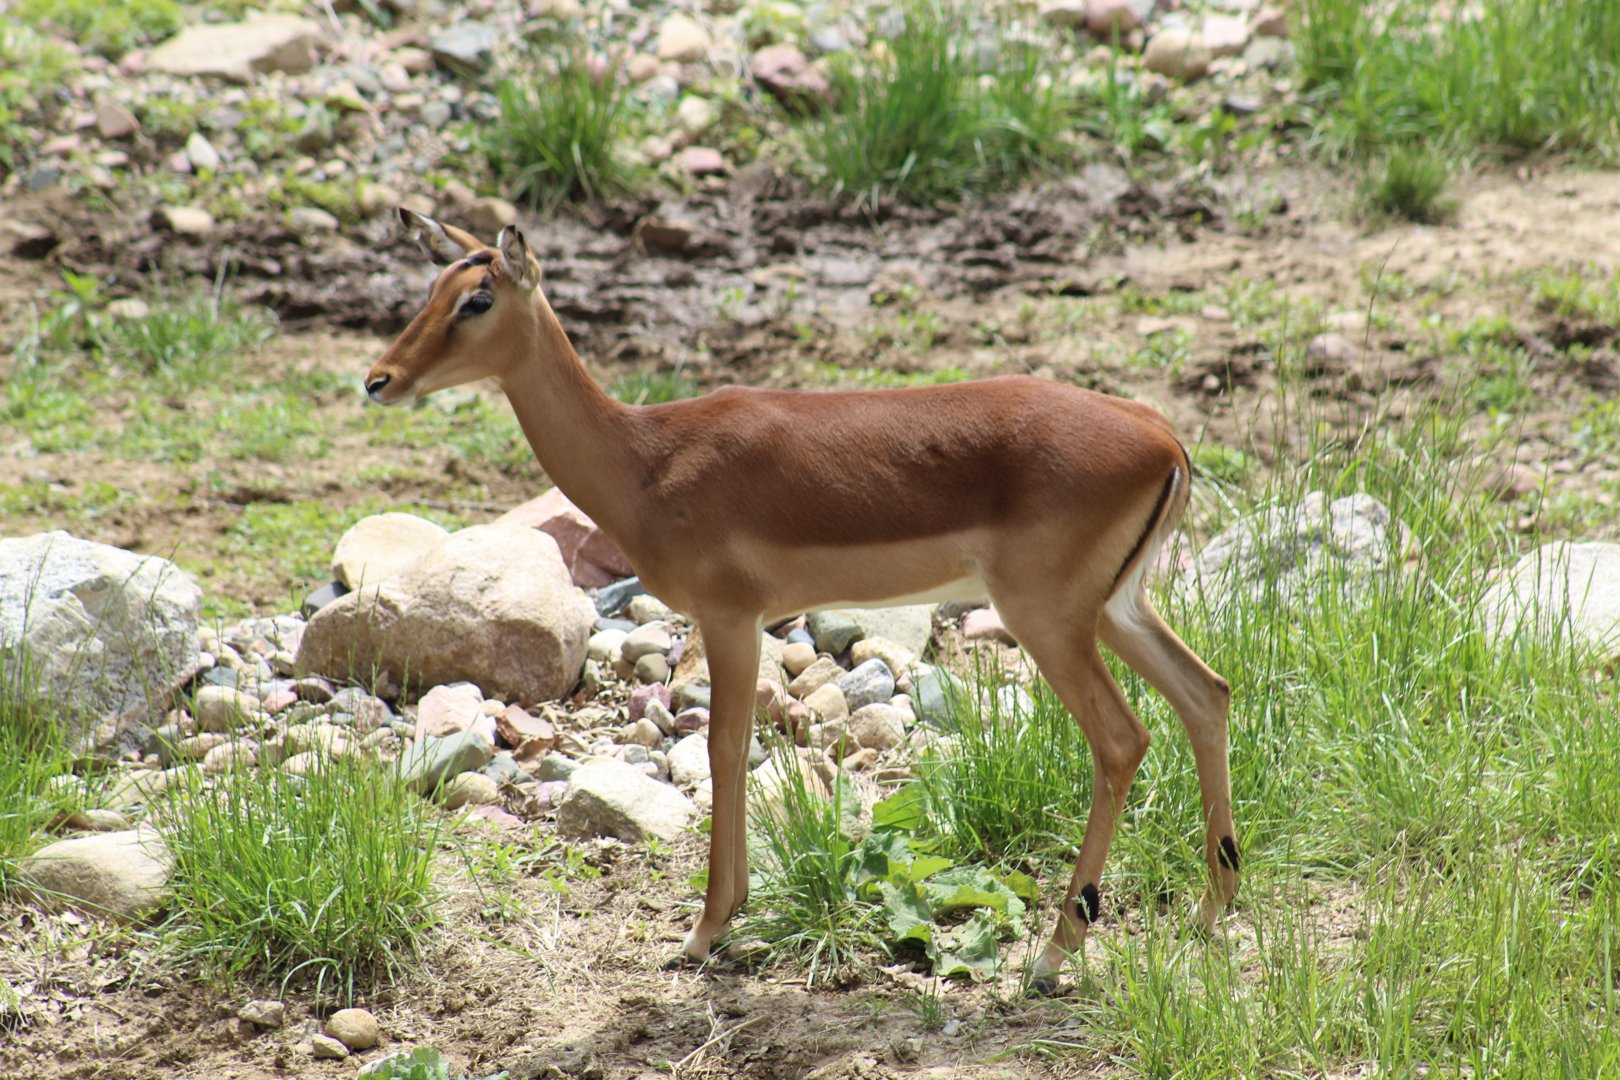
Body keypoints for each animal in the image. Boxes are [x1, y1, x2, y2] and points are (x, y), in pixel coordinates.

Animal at [364, 209, 1239, 989]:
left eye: (477, 299)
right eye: (433, 285)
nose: (380, 380)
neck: (646, 461)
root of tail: (1162, 437)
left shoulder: (727, 617)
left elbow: (724, 750)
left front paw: (704, 931)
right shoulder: (745, 622)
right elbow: (738, 747)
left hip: (1049, 619)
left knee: (1123, 740)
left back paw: (1055, 955)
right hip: (1118, 609)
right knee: (1208, 693)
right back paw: (1209, 911)